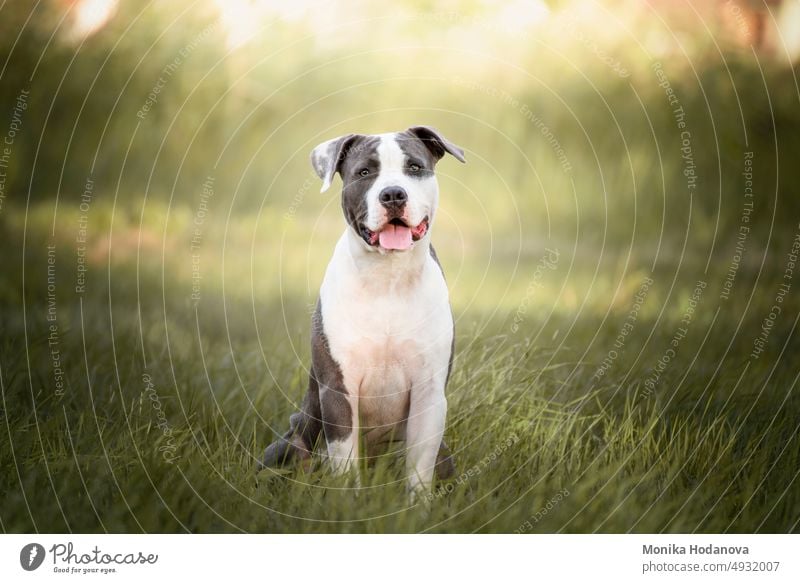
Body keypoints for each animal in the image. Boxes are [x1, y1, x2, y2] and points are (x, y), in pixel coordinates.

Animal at [260, 125, 466, 500]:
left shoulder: (429, 391)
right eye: (364, 172)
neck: (388, 277)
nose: (393, 194)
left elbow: (419, 467)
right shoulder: (337, 390)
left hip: (444, 454)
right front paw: (349, 504)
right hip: (292, 440)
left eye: (414, 167)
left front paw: (417, 507)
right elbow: (344, 462)